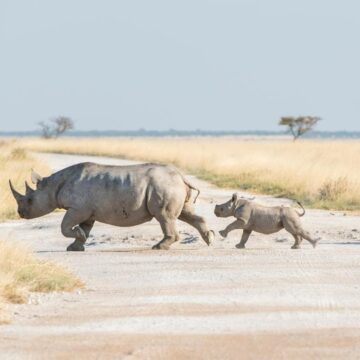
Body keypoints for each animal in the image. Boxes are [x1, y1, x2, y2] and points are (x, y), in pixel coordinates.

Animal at [9, 162, 214, 250]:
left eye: (29, 200)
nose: (20, 213)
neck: (52, 186)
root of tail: (181, 176)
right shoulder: (87, 211)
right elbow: (84, 228)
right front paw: (76, 245)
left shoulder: (78, 208)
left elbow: (64, 226)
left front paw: (77, 238)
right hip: (170, 185)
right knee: (184, 213)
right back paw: (209, 240)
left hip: (164, 185)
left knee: (164, 216)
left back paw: (158, 247)